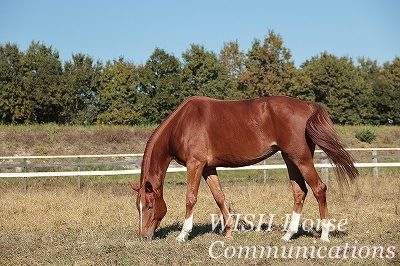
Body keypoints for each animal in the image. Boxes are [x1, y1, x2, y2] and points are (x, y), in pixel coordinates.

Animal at [131, 95, 360, 241]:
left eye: (149, 206)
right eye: (137, 207)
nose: (143, 237)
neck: (182, 123)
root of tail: (308, 106)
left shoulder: (195, 164)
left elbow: (190, 198)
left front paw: (182, 234)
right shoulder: (208, 168)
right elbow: (219, 197)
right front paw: (229, 232)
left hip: (300, 158)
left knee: (319, 189)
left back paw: (324, 236)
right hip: (290, 158)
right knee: (300, 192)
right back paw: (288, 235)